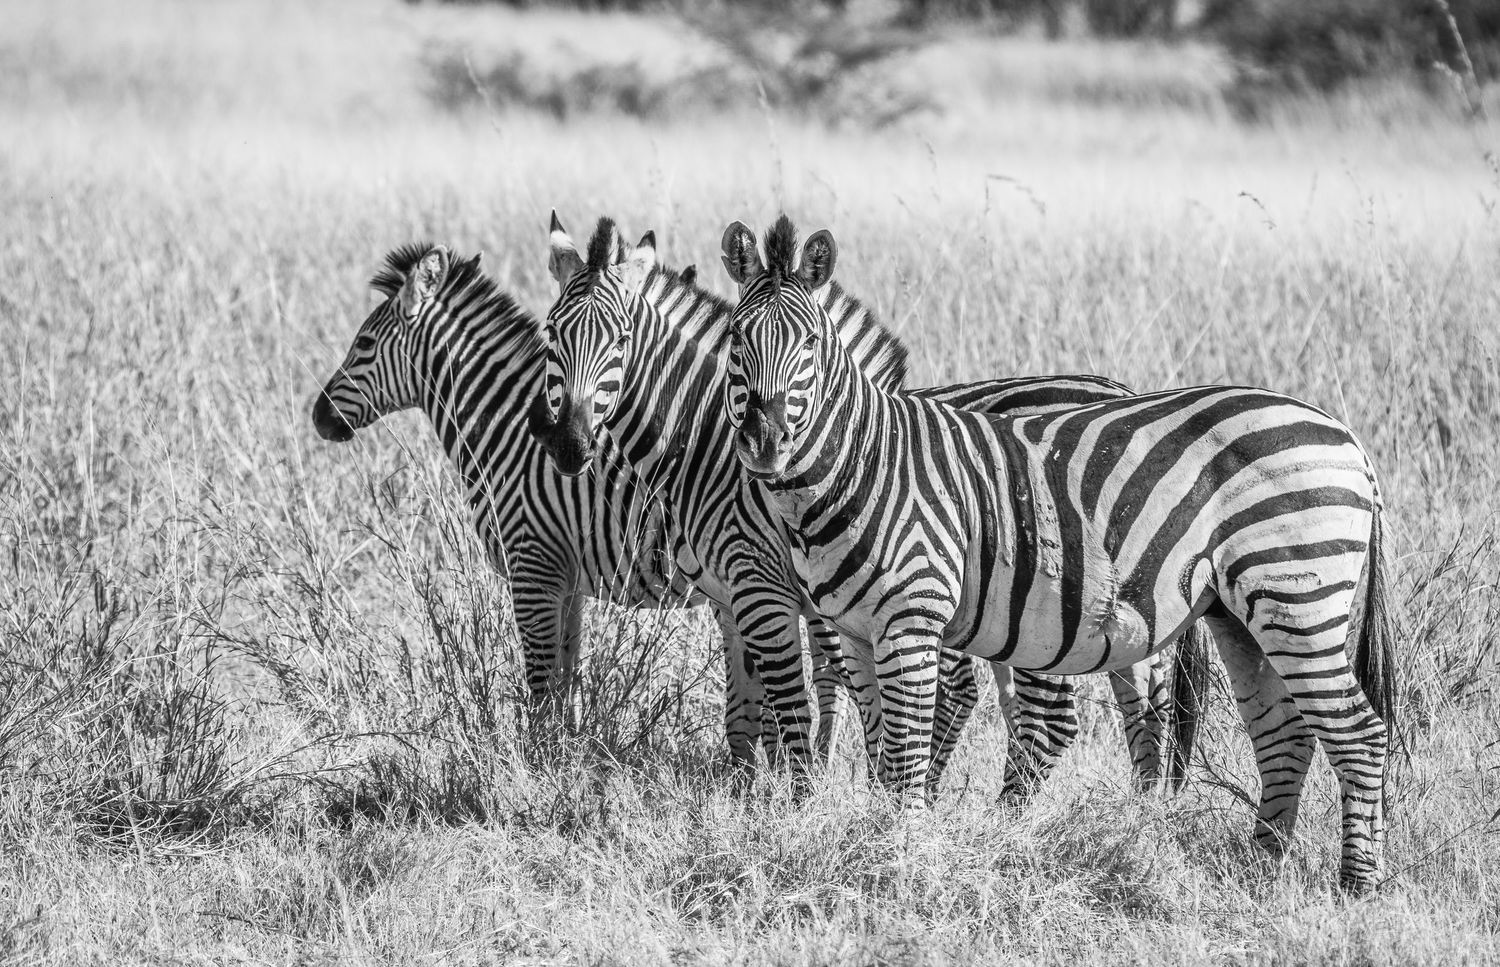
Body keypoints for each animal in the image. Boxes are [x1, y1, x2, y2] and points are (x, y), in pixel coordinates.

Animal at [309, 242, 839, 765]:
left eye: (363, 344)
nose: (318, 417)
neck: (506, 428)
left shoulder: (532, 567)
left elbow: (541, 682)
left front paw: (538, 761)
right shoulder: (567, 582)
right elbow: (568, 677)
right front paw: (564, 750)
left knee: (828, 670)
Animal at [528, 213, 1208, 798]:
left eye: (619, 339)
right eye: (551, 334)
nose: (568, 445)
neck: (711, 445)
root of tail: (1118, 387)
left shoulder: (771, 585)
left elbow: (803, 700)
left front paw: (804, 796)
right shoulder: (746, 596)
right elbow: (760, 705)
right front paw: (762, 790)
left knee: (1068, 712)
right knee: (1140, 703)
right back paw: (1140, 816)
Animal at [717, 215, 1399, 893]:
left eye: (809, 345)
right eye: (735, 341)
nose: (766, 444)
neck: (865, 461)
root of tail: (1349, 440)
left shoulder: (907, 615)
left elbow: (903, 750)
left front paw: (900, 856)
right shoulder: (855, 628)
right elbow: (881, 745)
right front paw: (873, 842)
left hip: (1297, 593)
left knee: (1359, 734)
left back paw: (1355, 885)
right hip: (1239, 614)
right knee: (1284, 733)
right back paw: (1258, 868)